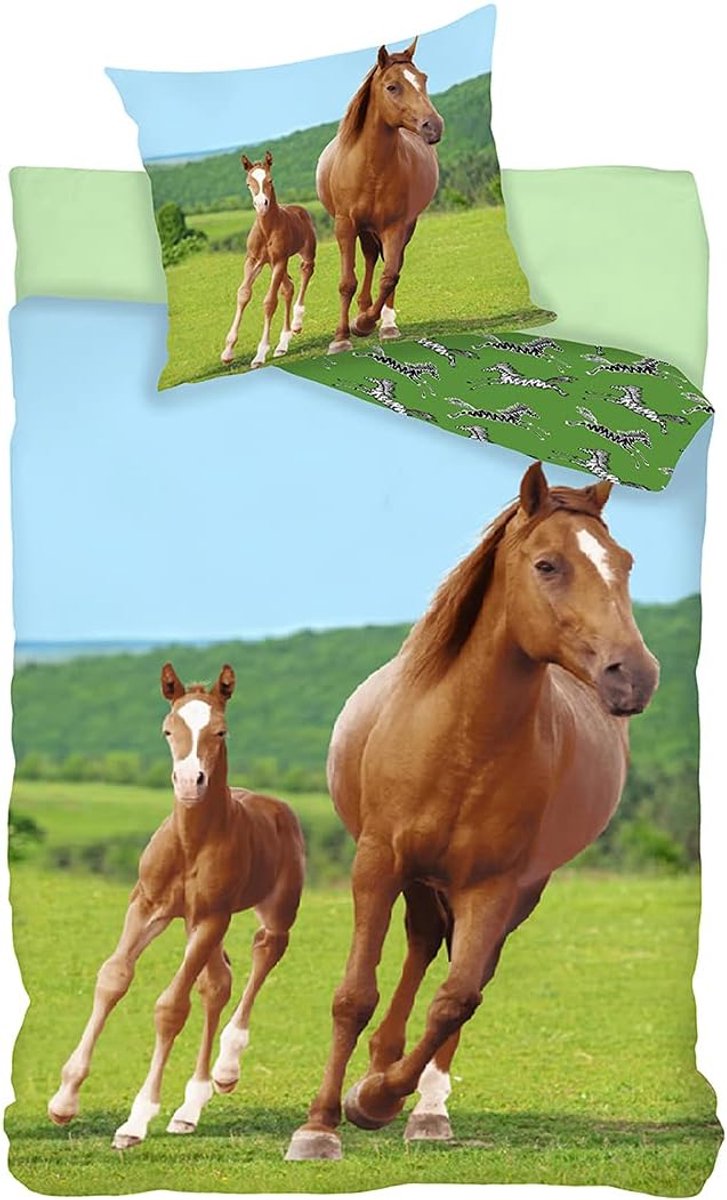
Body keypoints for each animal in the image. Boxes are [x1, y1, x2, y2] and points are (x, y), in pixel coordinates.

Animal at [48, 663, 305, 1149]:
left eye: (220, 730)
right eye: (168, 730)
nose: (189, 782)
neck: (192, 844)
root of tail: (276, 806)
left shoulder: (210, 917)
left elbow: (170, 1008)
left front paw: (136, 1120)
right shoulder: (147, 906)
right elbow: (113, 977)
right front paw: (64, 1100)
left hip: (271, 911)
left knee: (265, 951)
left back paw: (225, 1070)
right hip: (190, 923)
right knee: (217, 983)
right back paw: (190, 1108)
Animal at [221, 151, 316, 368]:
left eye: (270, 180)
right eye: (248, 183)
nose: (261, 204)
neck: (267, 229)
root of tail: (300, 209)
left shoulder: (279, 260)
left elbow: (269, 302)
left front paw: (260, 354)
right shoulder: (253, 260)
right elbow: (243, 294)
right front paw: (228, 351)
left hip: (303, 255)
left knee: (305, 272)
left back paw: (296, 323)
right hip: (273, 265)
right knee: (288, 288)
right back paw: (283, 344)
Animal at [286, 462, 659, 1161]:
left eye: (624, 562)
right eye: (547, 565)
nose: (633, 675)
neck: (460, 740)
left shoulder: (494, 885)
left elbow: (456, 999)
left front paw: (377, 1100)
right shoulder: (377, 863)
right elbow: (354, 994)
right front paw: (320, 1125)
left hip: (509, 892)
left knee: (462, 972)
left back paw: (420, 1106)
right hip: (418, 879)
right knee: (421, 943)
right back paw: (379, 1065)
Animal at [317, 37, 443, 354]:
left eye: (423, 79)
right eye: (392, 87)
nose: (433, 126)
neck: (370, 168)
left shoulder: (395, 226)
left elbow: (390, 277)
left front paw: (365, 324)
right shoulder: (345, 225)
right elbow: (347, 282)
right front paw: (341, 336)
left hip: (401, 227)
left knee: (388, 264)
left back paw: (384, 323)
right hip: (363, 228)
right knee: (370, 257)